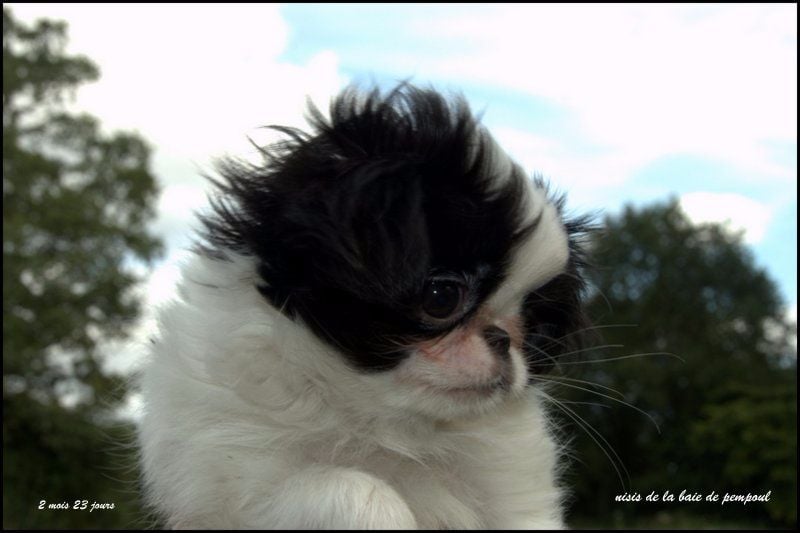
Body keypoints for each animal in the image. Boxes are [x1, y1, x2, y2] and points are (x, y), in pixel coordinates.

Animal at [137, 83, 589, 529]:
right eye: (442, 298)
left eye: (531, 323)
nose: (501, 339)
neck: (382, 420)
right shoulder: (234, 473)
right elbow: (355, 492)